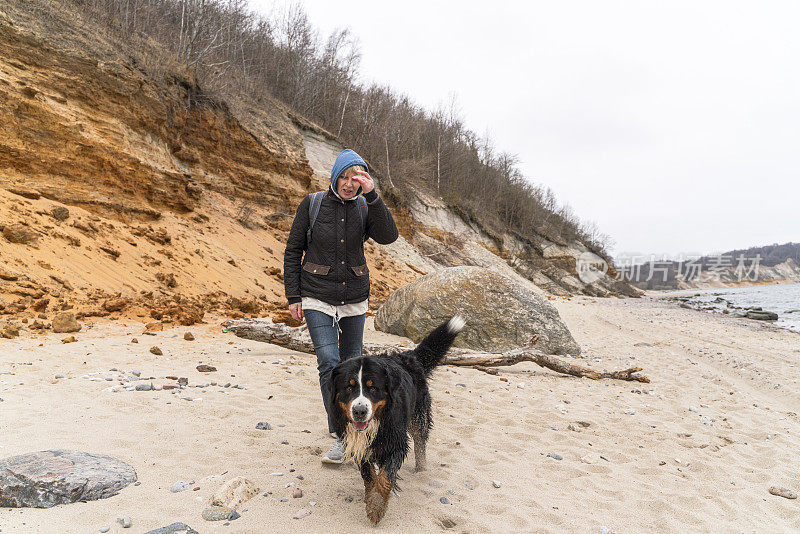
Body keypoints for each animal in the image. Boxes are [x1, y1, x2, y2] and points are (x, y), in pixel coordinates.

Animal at [326, 316, 466, 524]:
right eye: (349, 387)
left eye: (372, 388)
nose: (359, 411)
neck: (376, 423)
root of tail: (409, 356)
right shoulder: (359, 444)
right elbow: (369, 476)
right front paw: (371, 499)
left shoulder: (396, 443)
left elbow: (386, 476)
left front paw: (377, 506)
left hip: (418, 416)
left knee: (420, 444)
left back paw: (421, 470)